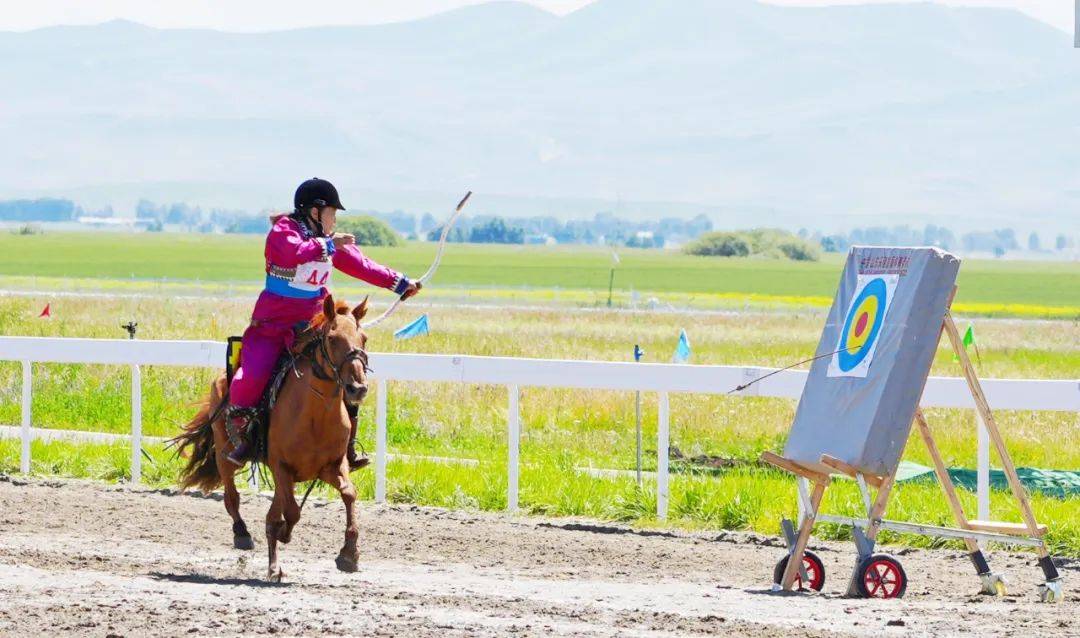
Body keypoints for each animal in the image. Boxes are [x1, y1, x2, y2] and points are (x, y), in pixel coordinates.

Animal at [176, 297, 371, 582]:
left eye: (363, 338)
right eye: (332, 339)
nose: (358, 388)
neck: (316, 414)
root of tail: (223, 378)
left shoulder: (332, 467)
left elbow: (348, 494)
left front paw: (349, 554)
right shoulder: (282, 467)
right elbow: (291, 512)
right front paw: (283, 533)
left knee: (271, 512)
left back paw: (273, 563)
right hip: (226, 455)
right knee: (232, 497)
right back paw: (243, 535)